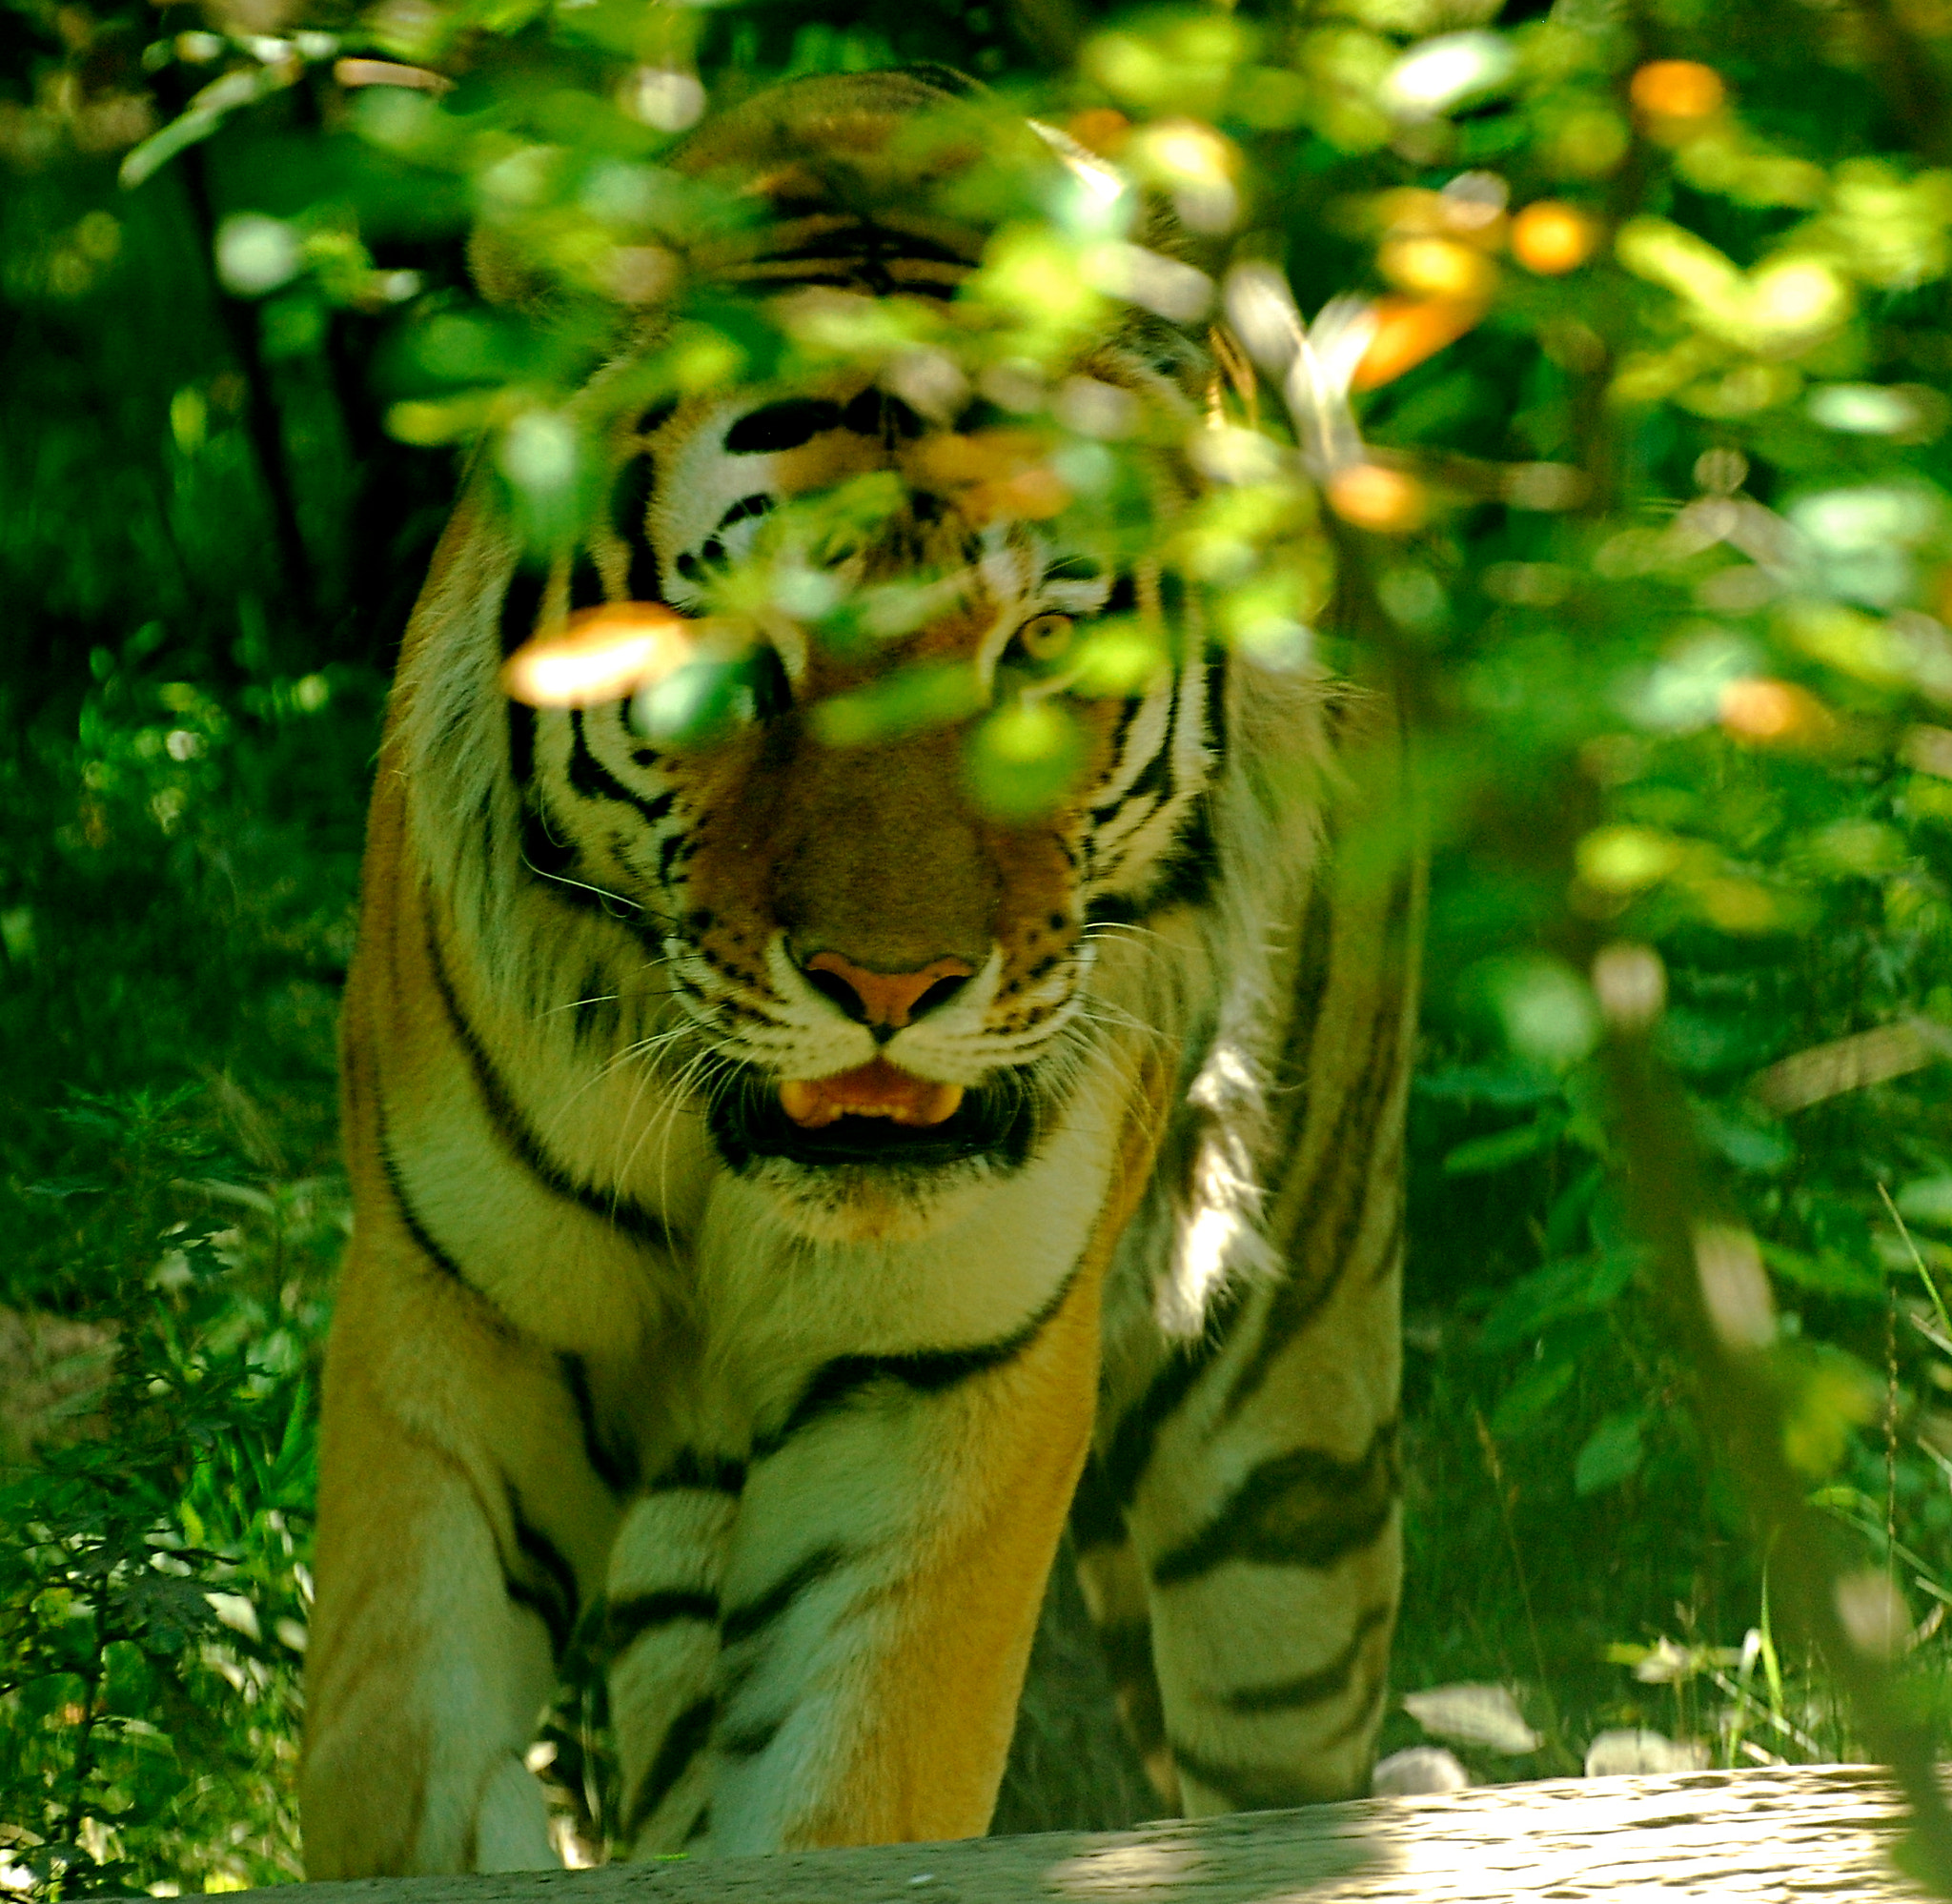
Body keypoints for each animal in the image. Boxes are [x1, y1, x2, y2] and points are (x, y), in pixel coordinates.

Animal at [300, 63, 1420, 1876]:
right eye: (730, 649)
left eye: (1041, 645)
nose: (892, 988)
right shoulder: (449, 1313)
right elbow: (394, 1738)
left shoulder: (941, 1378)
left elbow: (854, 1790)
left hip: (1285, 1434)